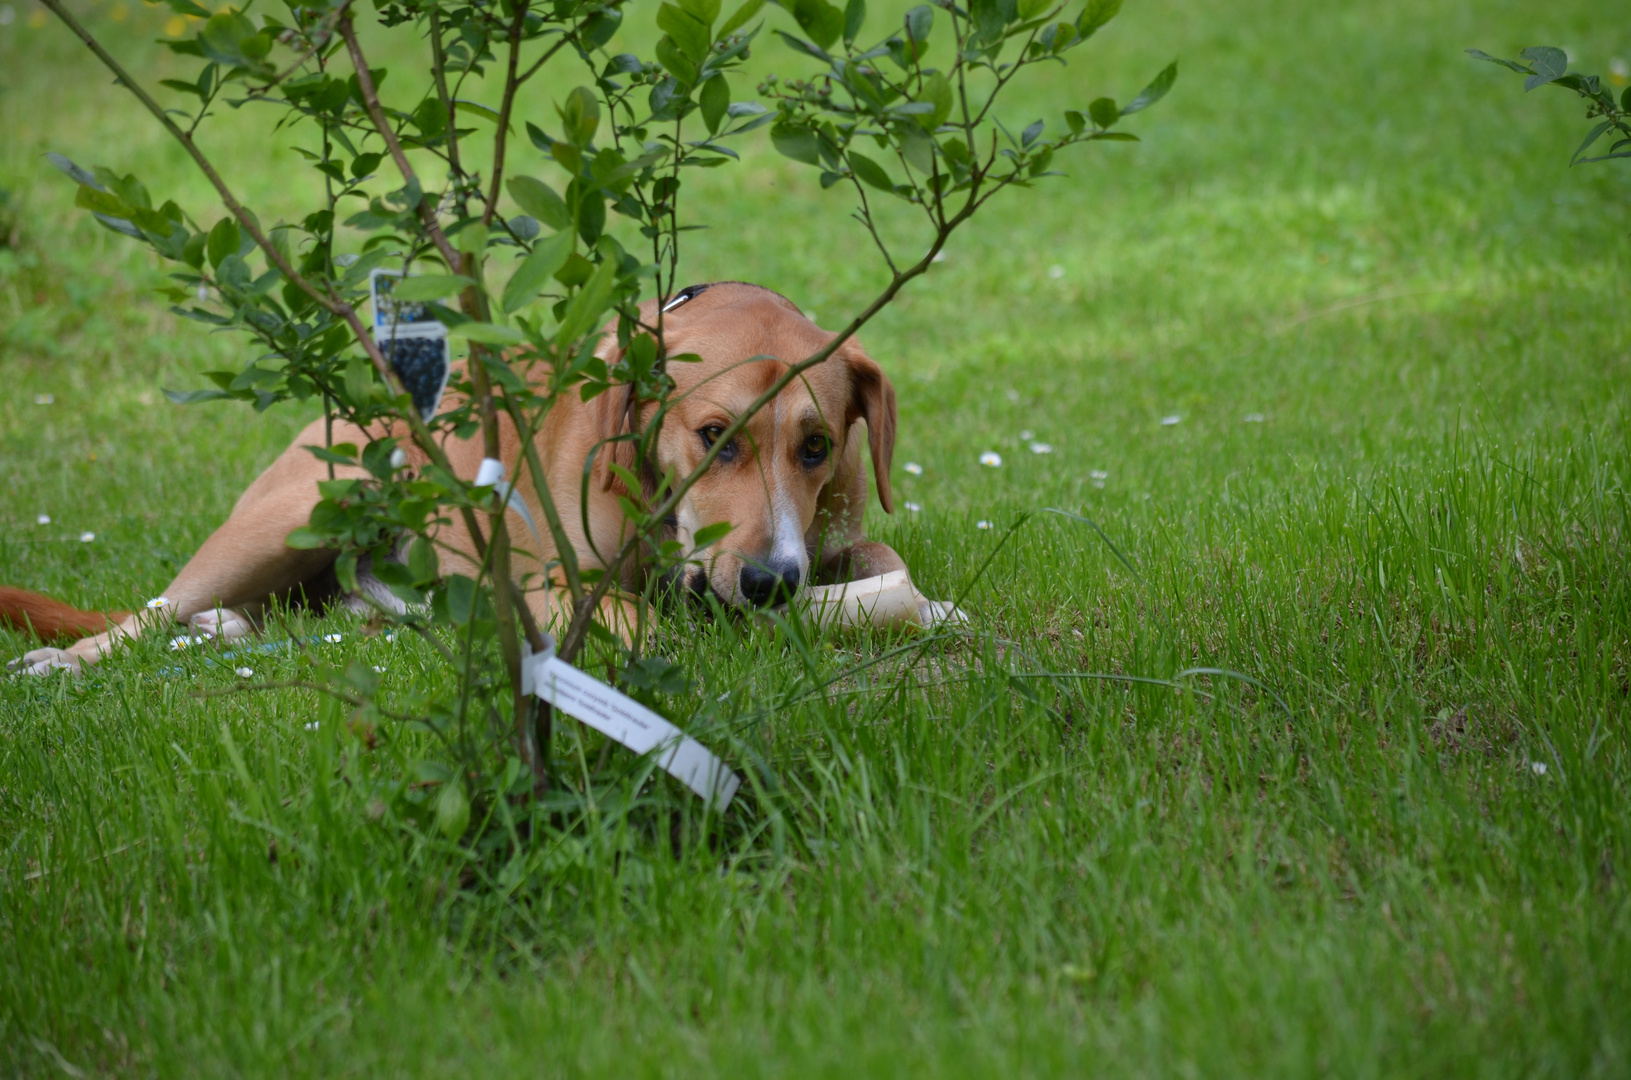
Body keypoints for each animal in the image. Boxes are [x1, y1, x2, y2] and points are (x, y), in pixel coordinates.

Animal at [3, 287, 919, 678]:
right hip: (297, 511)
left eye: (815, 445)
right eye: (712, 437)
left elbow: (889, 568)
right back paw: (74, 660)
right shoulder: (557, 589)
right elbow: (659, 622)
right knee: (151, 613)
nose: (770, 581)